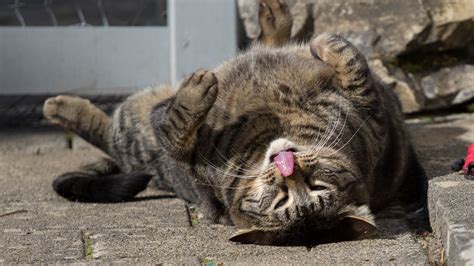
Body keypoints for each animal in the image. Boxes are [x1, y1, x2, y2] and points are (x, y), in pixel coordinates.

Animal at [44, 0, 428, 245]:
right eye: (281, 200)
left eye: (314, 187)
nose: (289, 170)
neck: (282, 127)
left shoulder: (375, 120)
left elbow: (352, 66)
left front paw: (328, 42)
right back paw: (275, 19)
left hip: (135, 130)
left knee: (110, 132)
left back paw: (59, 107)